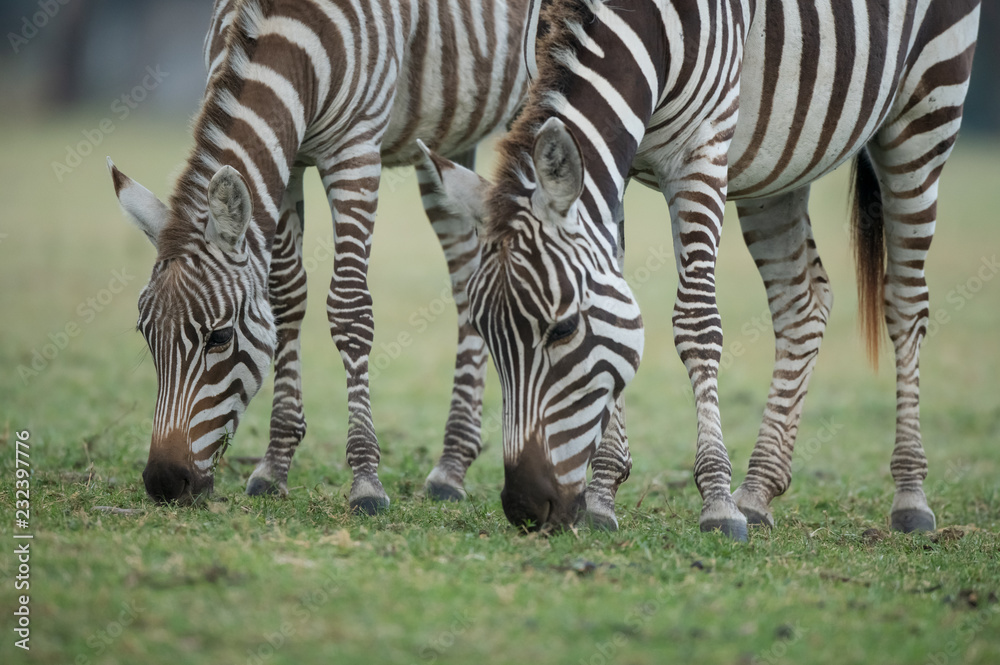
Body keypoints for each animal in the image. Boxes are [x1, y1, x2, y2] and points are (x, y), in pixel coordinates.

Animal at [107, 0, 532, 510]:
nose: (164, 483)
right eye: (145, 333)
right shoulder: (286, 160)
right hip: (447, 147)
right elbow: (286, 297)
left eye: (219, 337)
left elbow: (350, 309)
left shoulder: (355, 151)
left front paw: (366, 480)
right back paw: (452, 467)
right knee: (468, 273)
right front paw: (274, 466)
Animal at [419, 0, 981, 536]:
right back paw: (758, 490)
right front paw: (602, 496)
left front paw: (716, 503)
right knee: (802, 302)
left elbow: (697, 324)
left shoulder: (701, 152)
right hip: (782, 158)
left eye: (564, 328)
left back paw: (909, 497)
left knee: (905, 303)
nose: (525, 509)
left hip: (927, 110)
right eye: (485, 333)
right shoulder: (616, 163)